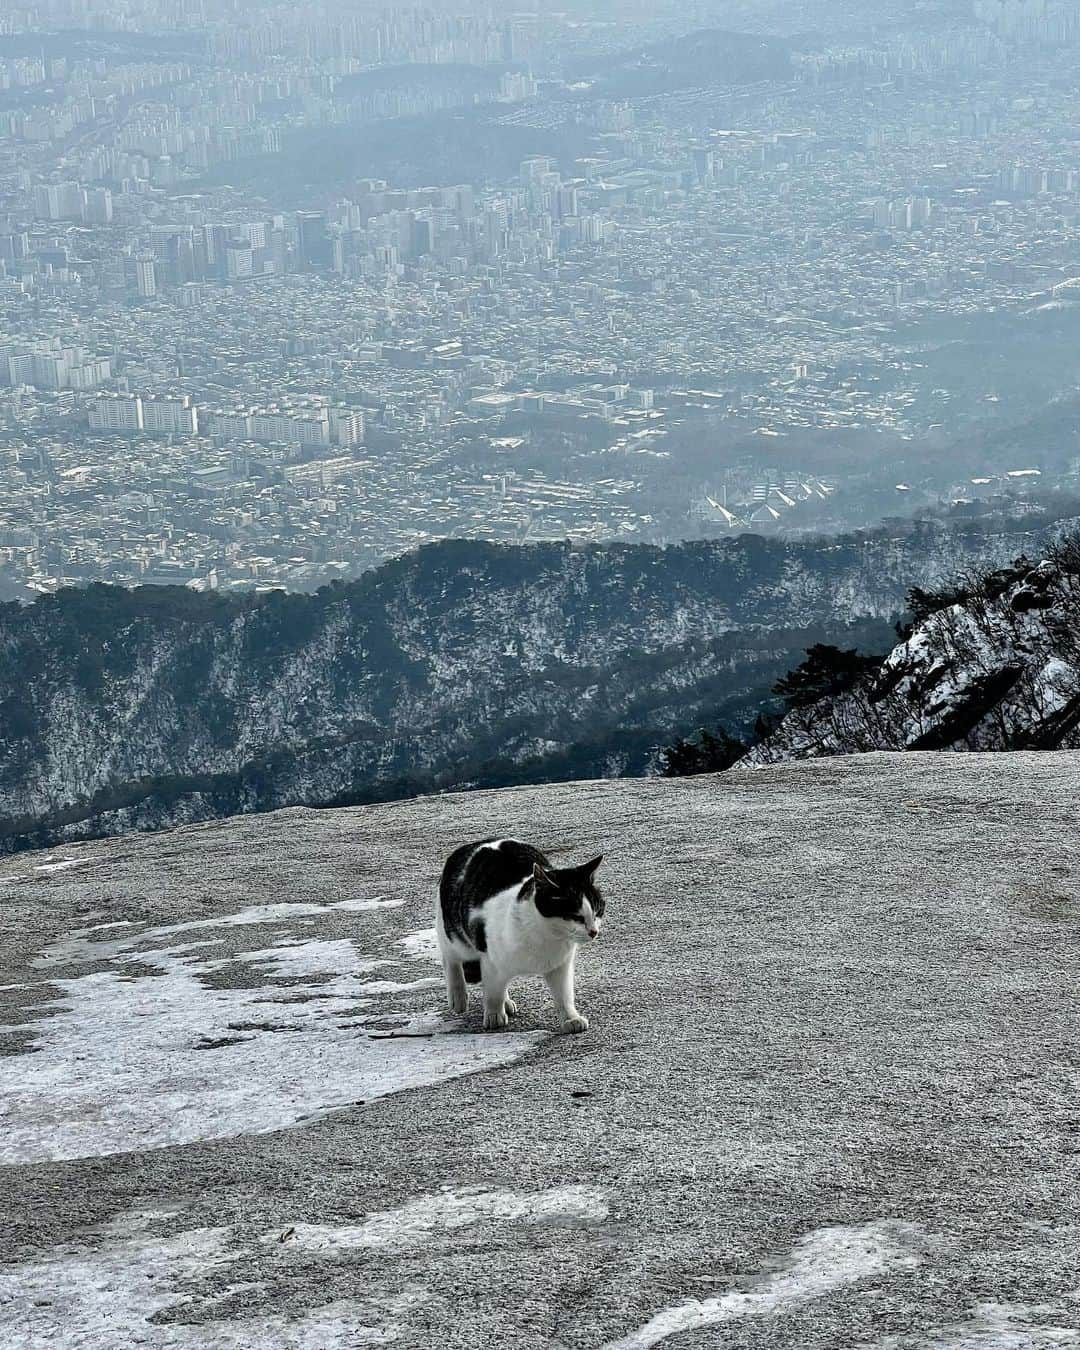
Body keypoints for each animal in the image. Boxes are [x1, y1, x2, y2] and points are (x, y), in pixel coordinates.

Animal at [437, 837, 607, 1036]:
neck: (548, 937)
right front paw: (494, 1015)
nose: (593, 931)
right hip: (456, 936)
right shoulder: (491, 960)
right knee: (450, 958)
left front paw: (570, 1018)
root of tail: (476, 843)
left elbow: (563, 995)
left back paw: (506, 1002)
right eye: (576, 916)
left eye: (597, 911)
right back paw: (458, 996)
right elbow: (493, 993)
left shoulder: (560, 966)